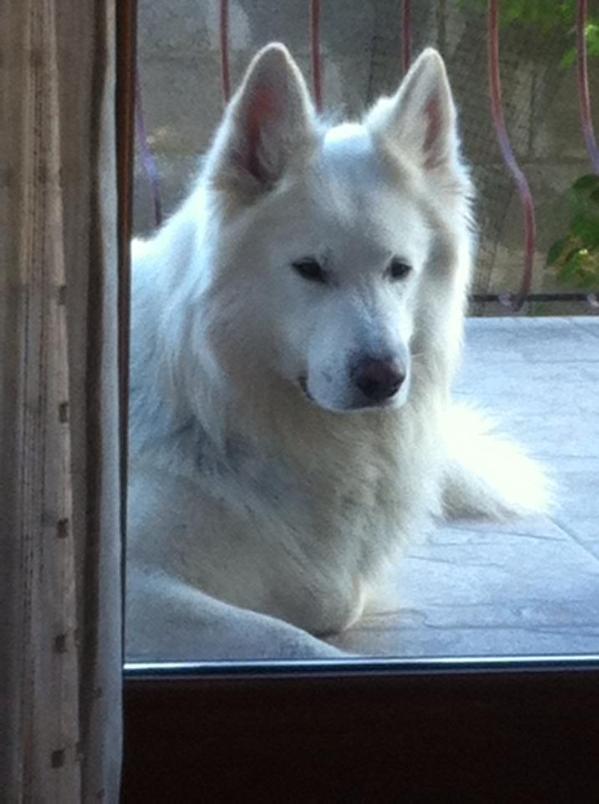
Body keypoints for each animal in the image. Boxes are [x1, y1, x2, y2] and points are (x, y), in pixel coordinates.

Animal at [127, 44, 552, 652]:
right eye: (310, 269)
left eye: (399, 269)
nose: (384, 378)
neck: (217, 408)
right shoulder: (136, 588)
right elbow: (292, 638)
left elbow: (330, 598)